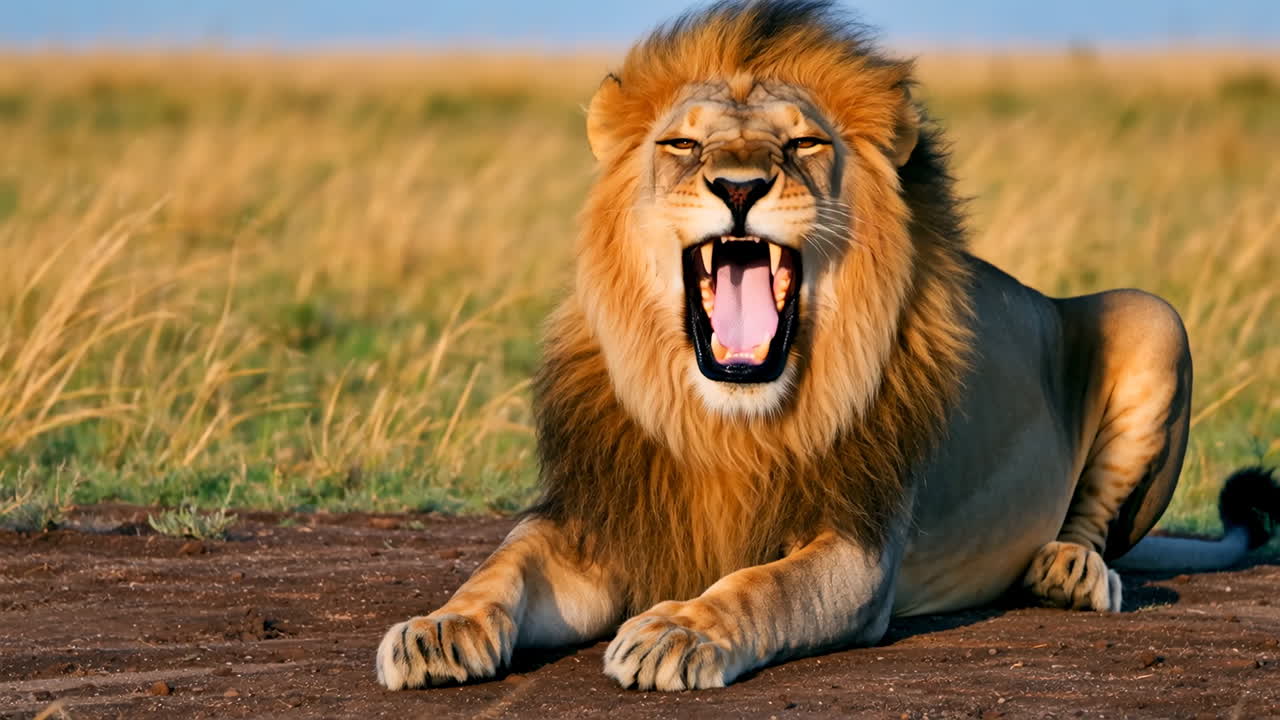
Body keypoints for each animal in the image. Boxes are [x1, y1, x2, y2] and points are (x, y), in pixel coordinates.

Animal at [376, 0, 1278, 692]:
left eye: (803, 144)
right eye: (682, 146)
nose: (739, 186)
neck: (725, 421)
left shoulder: (859, 545)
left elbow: (762, 586)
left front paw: (679, 631)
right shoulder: (605, 515)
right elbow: (503, 565)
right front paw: (438, 628)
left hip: (1154, 316)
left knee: (1094, 523)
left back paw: (1069, 570)